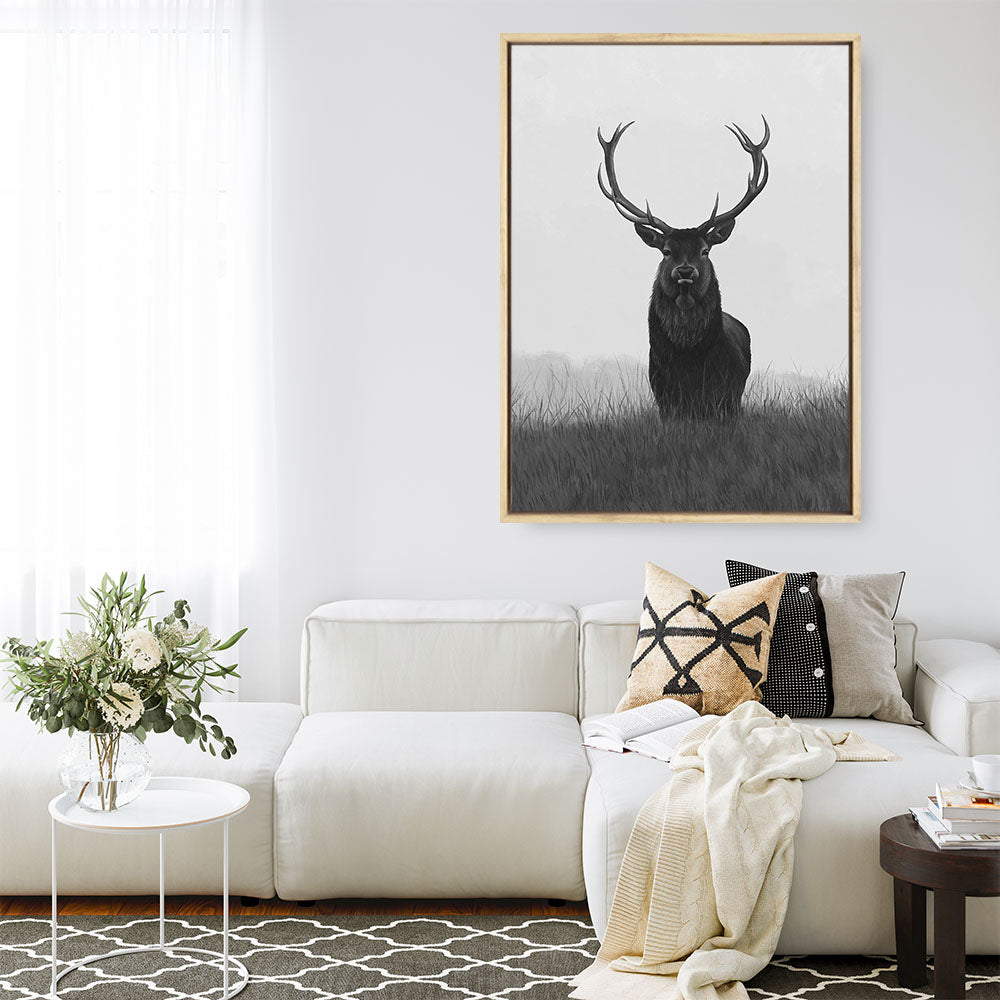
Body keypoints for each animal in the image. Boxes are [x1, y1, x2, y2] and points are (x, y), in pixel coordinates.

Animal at [597, 117, 770, 421]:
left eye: (705, 250)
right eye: (666, 252)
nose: (686, 272)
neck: (689, 362)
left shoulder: (726, 397)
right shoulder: (664, 396)